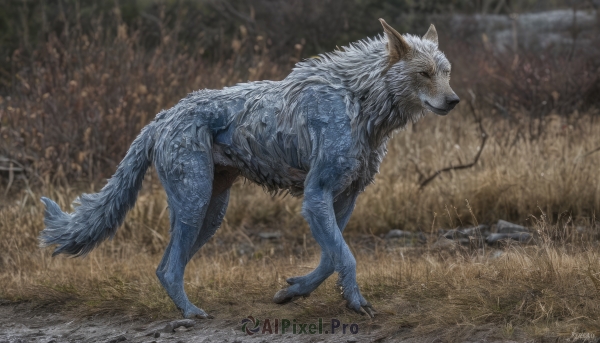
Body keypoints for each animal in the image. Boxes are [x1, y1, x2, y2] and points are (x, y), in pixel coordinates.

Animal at [38, 20, 460, 318]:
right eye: (424, 74)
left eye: (446, 72)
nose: (454, 101)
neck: (358, 102)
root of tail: (160, 118)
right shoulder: (316, 195)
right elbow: (346, 256)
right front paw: (357, 303)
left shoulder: (346, 199)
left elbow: (331, 258)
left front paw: (294, 291)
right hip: (195, 205)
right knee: (169, 268)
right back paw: (192, 313)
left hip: (211, 214)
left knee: (163, 267)